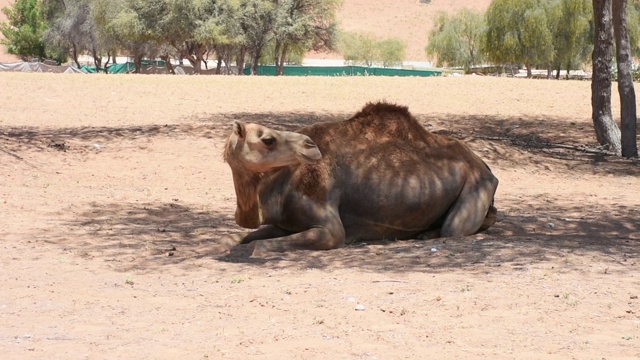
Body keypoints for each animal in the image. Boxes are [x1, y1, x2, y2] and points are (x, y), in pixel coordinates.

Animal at [222, 100, 498, 256]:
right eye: (268, 139)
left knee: (454, 229)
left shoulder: (329, 228)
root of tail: (485, 167)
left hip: (477, 185)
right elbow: (234, 238)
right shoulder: (285, 223)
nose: (310, 147)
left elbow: (258, 246)